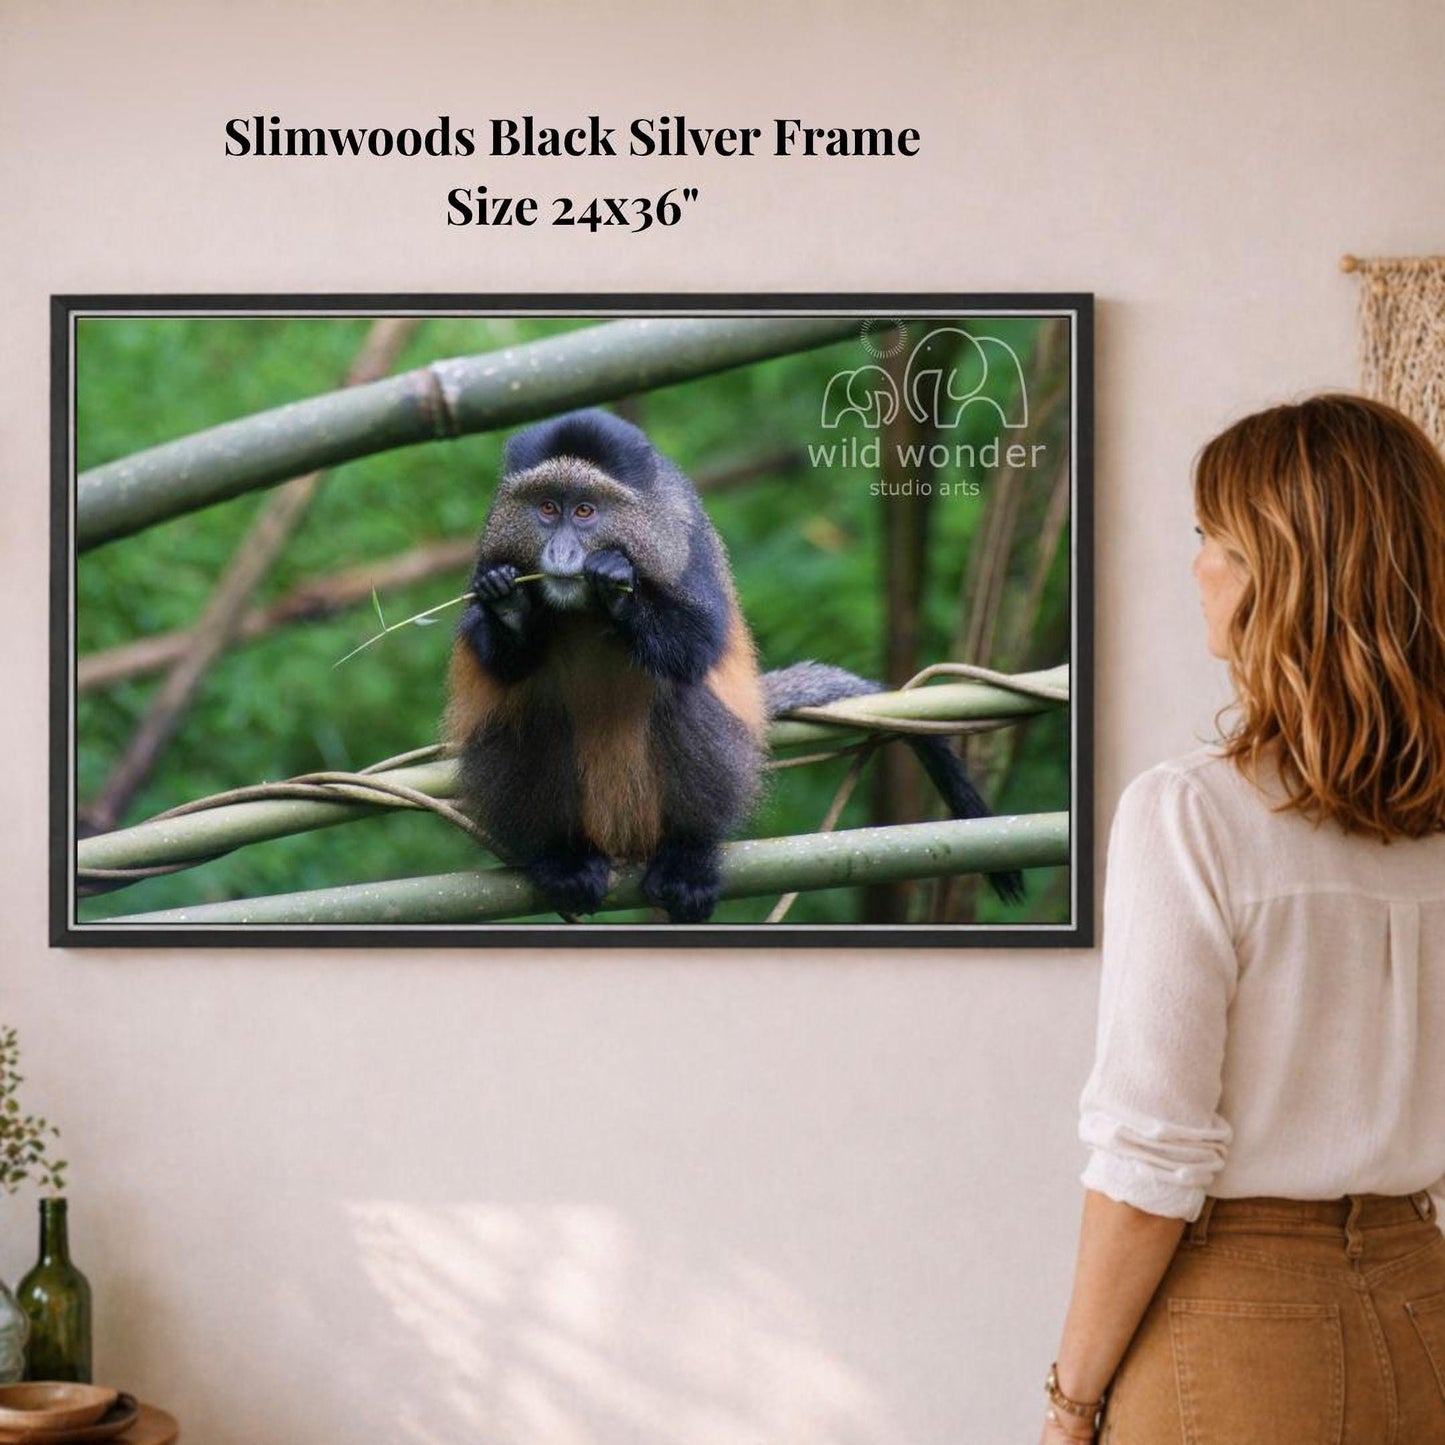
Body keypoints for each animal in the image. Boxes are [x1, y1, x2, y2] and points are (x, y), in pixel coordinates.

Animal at [442, 408, 1025, 923]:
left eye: (584, 511)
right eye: (546, 508)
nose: (562, 553)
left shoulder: (684, 535)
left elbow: (697, 646)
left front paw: (613, 579)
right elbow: (503, 665)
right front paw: (510, 606)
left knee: (680, 697)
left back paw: (688, 858)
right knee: (537, 710)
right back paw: (562, 858)